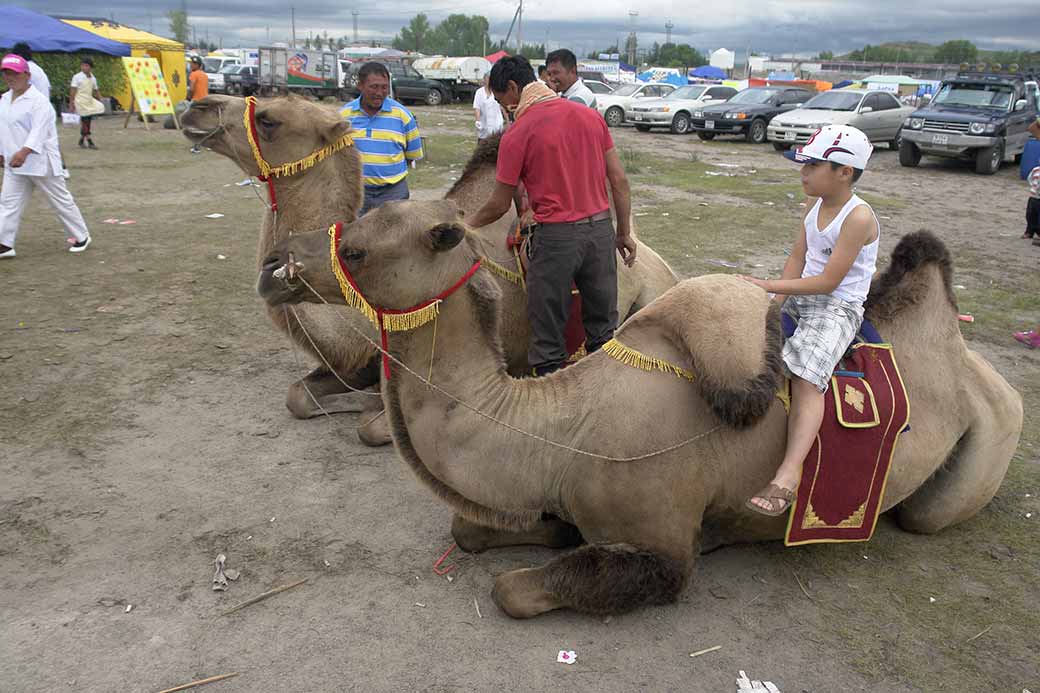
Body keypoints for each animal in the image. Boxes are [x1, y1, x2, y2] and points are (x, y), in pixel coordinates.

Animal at [183, 95, 678, 443]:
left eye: (269, 120)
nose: (195, 106)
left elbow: (371, 426)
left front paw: (368, 406)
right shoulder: (353, 361)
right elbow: (297, 398)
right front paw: (350, 399)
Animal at [257, 198, 1023, 616]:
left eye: (357, 247)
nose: (273, 266)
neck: (560, 429)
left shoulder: (664, 548)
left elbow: (516, 589)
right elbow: (470, 528)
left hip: (983, 447)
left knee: (925, 512)